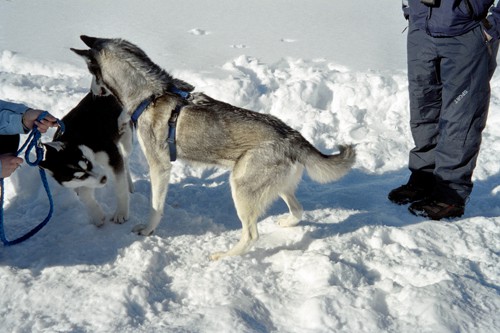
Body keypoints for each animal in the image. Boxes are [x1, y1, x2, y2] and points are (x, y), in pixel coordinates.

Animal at [39, 91, 133, 226]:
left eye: (87, 162)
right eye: (79, 177)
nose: (104, 179)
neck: (77, 138)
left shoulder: (112, 158)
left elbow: (120, 187)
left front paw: (121, 212)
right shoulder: (88, 178)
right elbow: (84, 193)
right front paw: (96, 215)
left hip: (126, 137)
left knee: (126, 159)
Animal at [71, 35, 356, 260]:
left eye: (91, 73)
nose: (92, 93)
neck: (151, 94)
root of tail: (292, 135)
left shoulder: (159, 167)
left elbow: (155, 207)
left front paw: (148, 230)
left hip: (240, 187)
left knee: (251, 235)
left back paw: (225, 256)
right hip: (275, 186)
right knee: (297, 210)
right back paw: (285, 221)